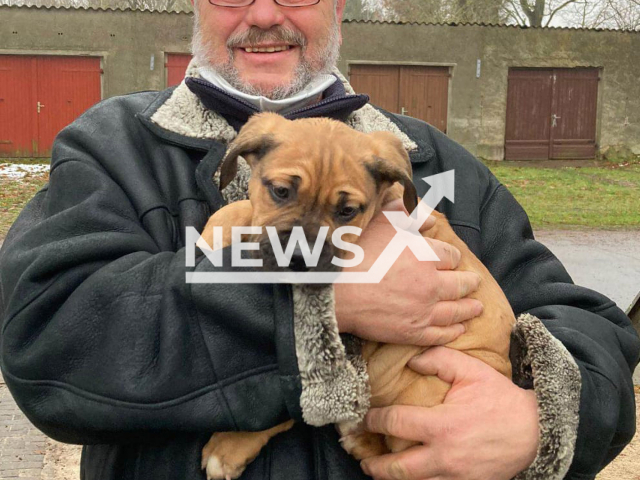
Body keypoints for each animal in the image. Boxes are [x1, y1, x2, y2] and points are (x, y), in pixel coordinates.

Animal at [198, 113, 512, 480]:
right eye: (280, 191)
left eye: (347, 211)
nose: (299, 260)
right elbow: (241, 208)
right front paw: (214, 233)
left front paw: (229, 446)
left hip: (422, 391)